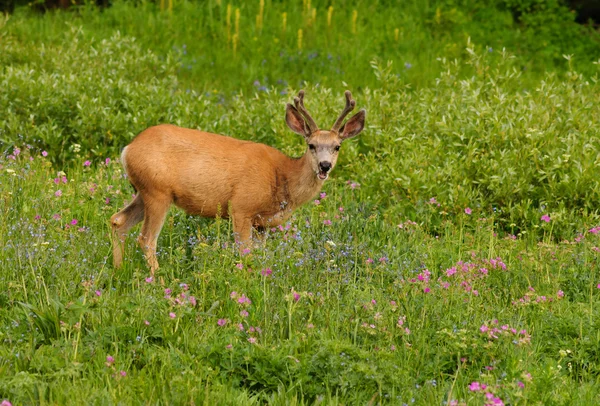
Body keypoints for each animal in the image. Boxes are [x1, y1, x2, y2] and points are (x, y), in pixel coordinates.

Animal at [110, 89, 368, 272]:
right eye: (311, 145)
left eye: (337, 146)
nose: (325, 166)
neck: (283, 176)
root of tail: (128, 149)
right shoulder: (242, 207)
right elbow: (245, 252)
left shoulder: (263, 223)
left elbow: (261, 255)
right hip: (157, 191)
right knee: (146, 239)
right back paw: (158, 280)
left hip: (144, 191)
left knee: (118, 221)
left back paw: (118, 270)